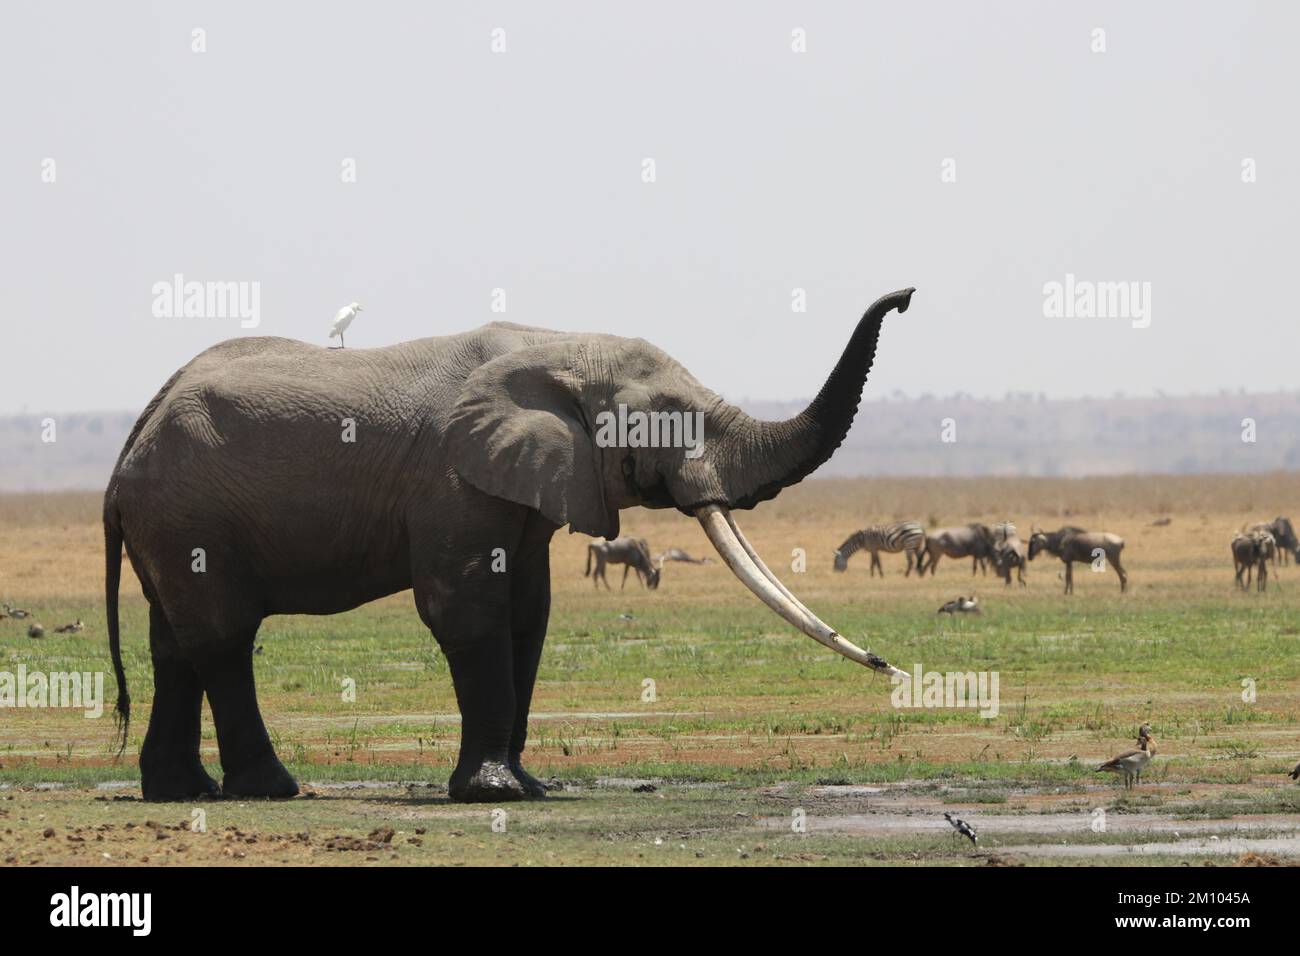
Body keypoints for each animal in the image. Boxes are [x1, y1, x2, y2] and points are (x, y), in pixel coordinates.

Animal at [104, 287, 915, 806]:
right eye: (670, 419)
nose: (905, 296)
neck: (555, 343)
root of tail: (125, 452)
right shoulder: (454, 482)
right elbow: (467, 610)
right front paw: (495, 794)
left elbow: (529, 614)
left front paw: (529, 786)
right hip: (190, 517)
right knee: (222, 638)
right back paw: (272, 789)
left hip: (171, 525)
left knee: (175, 645)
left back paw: (181, 791)